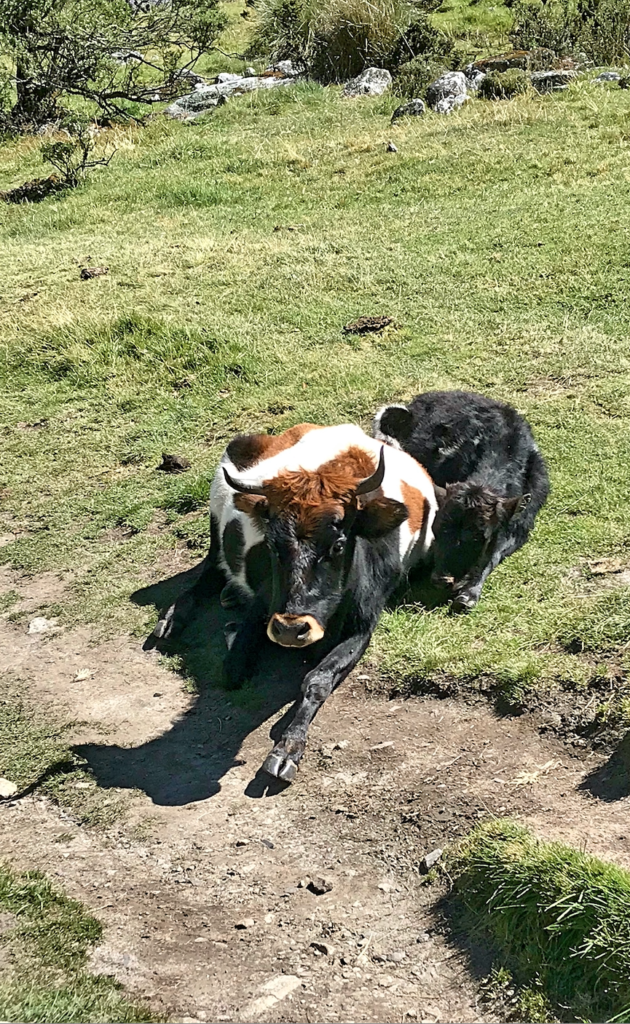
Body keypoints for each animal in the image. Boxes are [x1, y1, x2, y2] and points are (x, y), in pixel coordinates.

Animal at [376, 385, 549, 606]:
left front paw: (468, 595)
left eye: (478, 536)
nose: (442, 579)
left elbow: (491, 555)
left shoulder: (519, 527)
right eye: (436, 528)